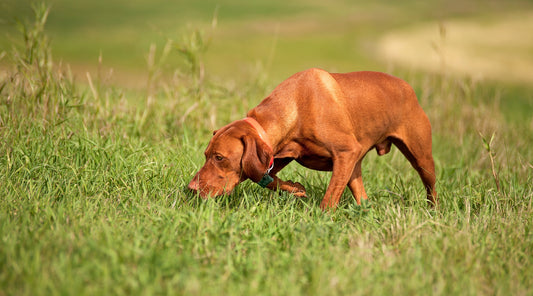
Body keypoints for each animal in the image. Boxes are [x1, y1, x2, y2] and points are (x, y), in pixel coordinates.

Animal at [187, 68, 436, 209]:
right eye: (206, 155)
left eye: (219, 157)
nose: (190, 188)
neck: (296, 106)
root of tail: (408, 87)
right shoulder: (280, 154)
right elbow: (266, 179)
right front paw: (295, 188)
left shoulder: (346, 152)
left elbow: (329, 200)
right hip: (354, 168)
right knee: (362, 198)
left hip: (422, 159)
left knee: (431, 187)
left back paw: (433, 213)